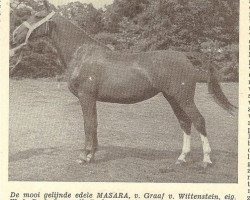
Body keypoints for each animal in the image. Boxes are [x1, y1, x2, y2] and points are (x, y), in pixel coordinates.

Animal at [11, 0, 237, 168]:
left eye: (37, 16)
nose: (14, 35)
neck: (82, 53)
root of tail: (184, 57)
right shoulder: (91, 99)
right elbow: (94, 124)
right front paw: (92, 155)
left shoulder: (86, 97)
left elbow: (88, 125)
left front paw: (85, 156)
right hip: (172, 98)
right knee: (185, 123)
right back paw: (182, 158)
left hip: (184, 97)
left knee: (199, 121)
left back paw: (206, 160)